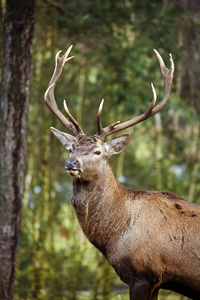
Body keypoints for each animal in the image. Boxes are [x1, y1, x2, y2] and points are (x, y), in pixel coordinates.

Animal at [44, 45, 200, 298]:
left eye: (97, 151)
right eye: (71, 148)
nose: (70, 163)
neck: (114, 237)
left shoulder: (143, 274)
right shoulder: (156, 281)